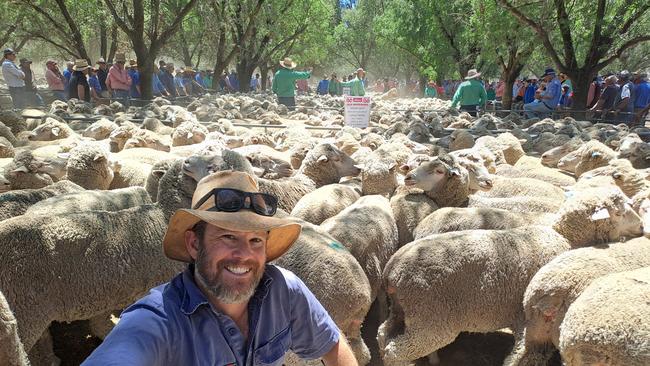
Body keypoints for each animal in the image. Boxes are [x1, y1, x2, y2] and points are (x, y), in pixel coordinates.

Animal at [378, 226, 568, 364]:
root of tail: (392, 266)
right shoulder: (532, 322)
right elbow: (524, 355)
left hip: (401, 309)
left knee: (382, 334)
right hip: (431, 317)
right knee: (395, 351)